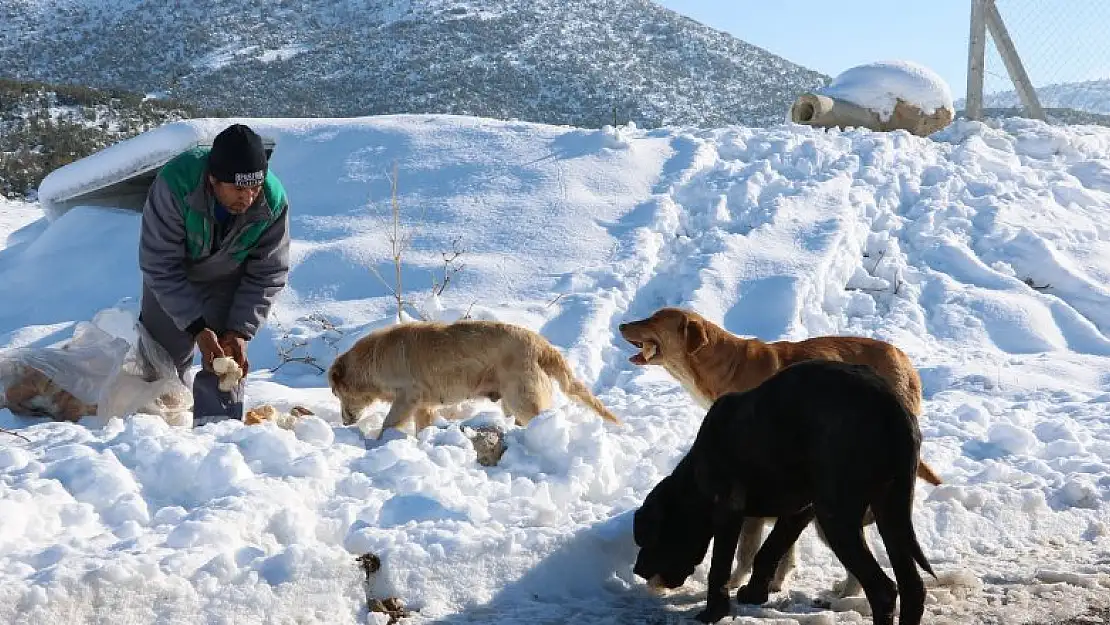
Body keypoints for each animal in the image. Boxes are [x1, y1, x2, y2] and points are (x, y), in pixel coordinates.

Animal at [328, 319, 626, 437]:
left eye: (335, 393)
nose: (344, 421)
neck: (373, 359)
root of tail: (541, 344)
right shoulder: (423, 405)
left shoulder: (407, 396)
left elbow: (389, 424)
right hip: (511, 400)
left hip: (522, 397)